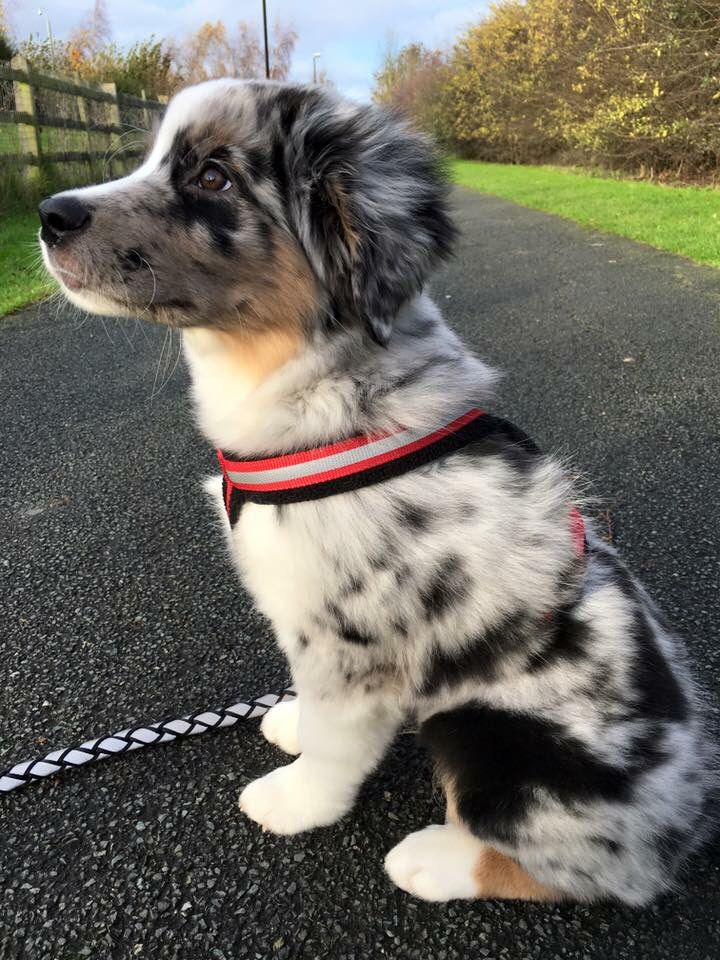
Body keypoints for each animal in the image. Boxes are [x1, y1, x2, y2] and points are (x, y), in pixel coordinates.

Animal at [39, 79, 716, 904]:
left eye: (213, 177)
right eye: (150, 157)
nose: (49, 215)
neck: (318, 395)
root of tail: (684, 833)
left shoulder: (354, 644)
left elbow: (335, 745)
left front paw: (294, 800)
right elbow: (313, 709)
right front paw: (291, 721)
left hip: (493, 735)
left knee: (568, 869)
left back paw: (433, 859)